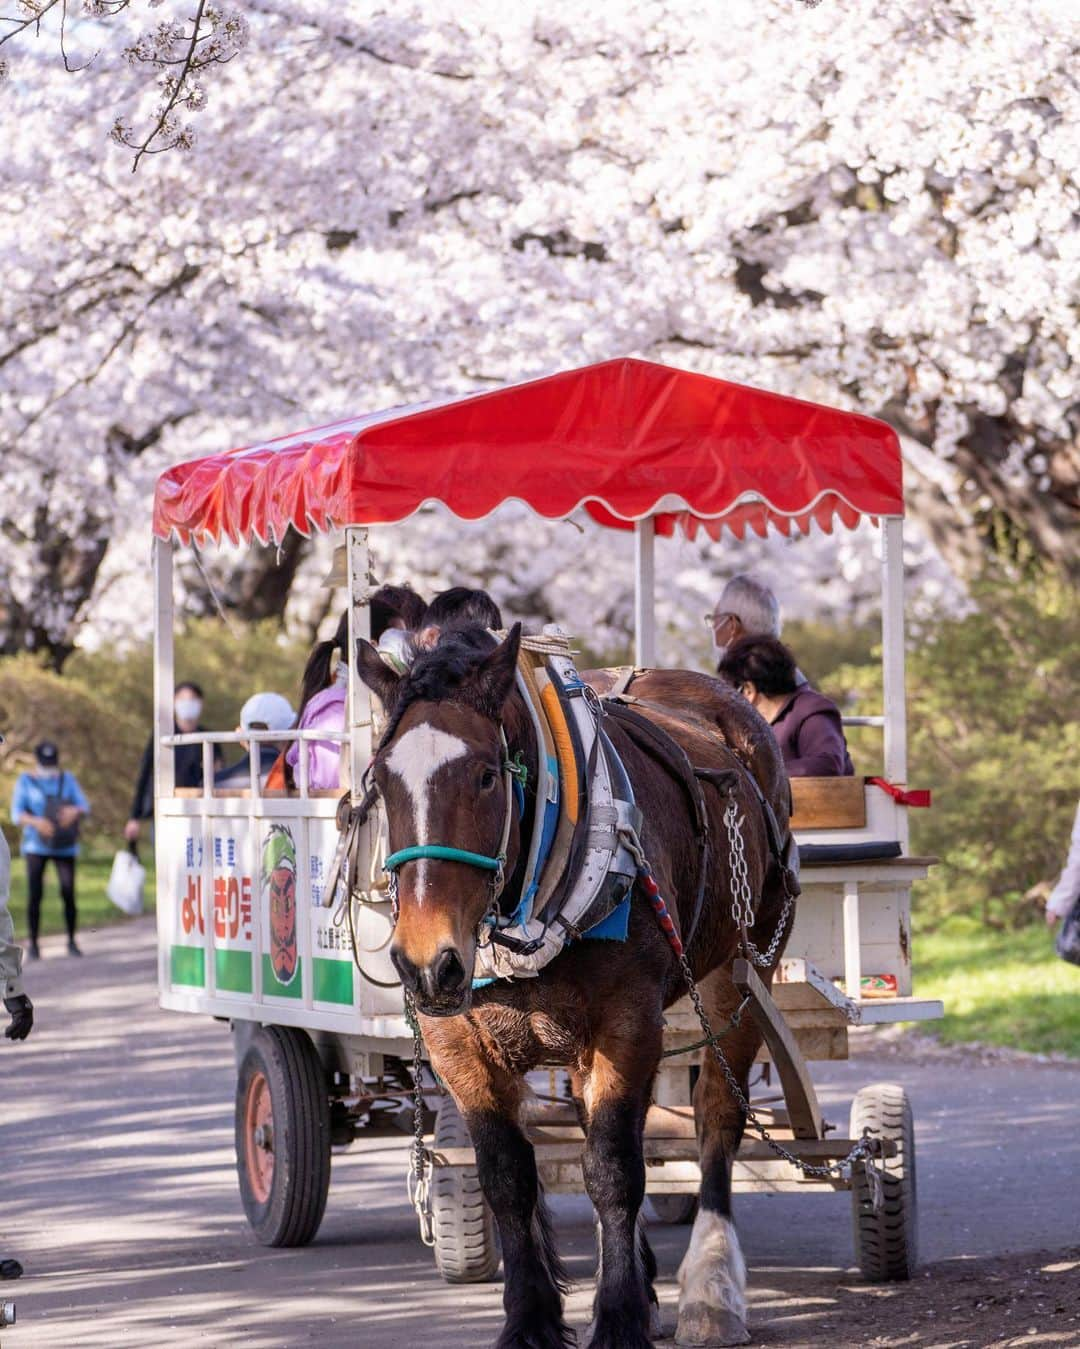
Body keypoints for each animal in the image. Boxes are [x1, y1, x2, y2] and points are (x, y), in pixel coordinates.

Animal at [355, 623, 792, 1349]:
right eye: (382, 782)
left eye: (485, 774)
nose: (423, 960)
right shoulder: (455, 1037)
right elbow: (508, 1175)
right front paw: (531, 1319)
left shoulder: (628, 1018)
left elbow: (612, 1169)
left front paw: (617, 1317)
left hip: (743, 967)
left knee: (715, 1116)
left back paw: (711, 1286)